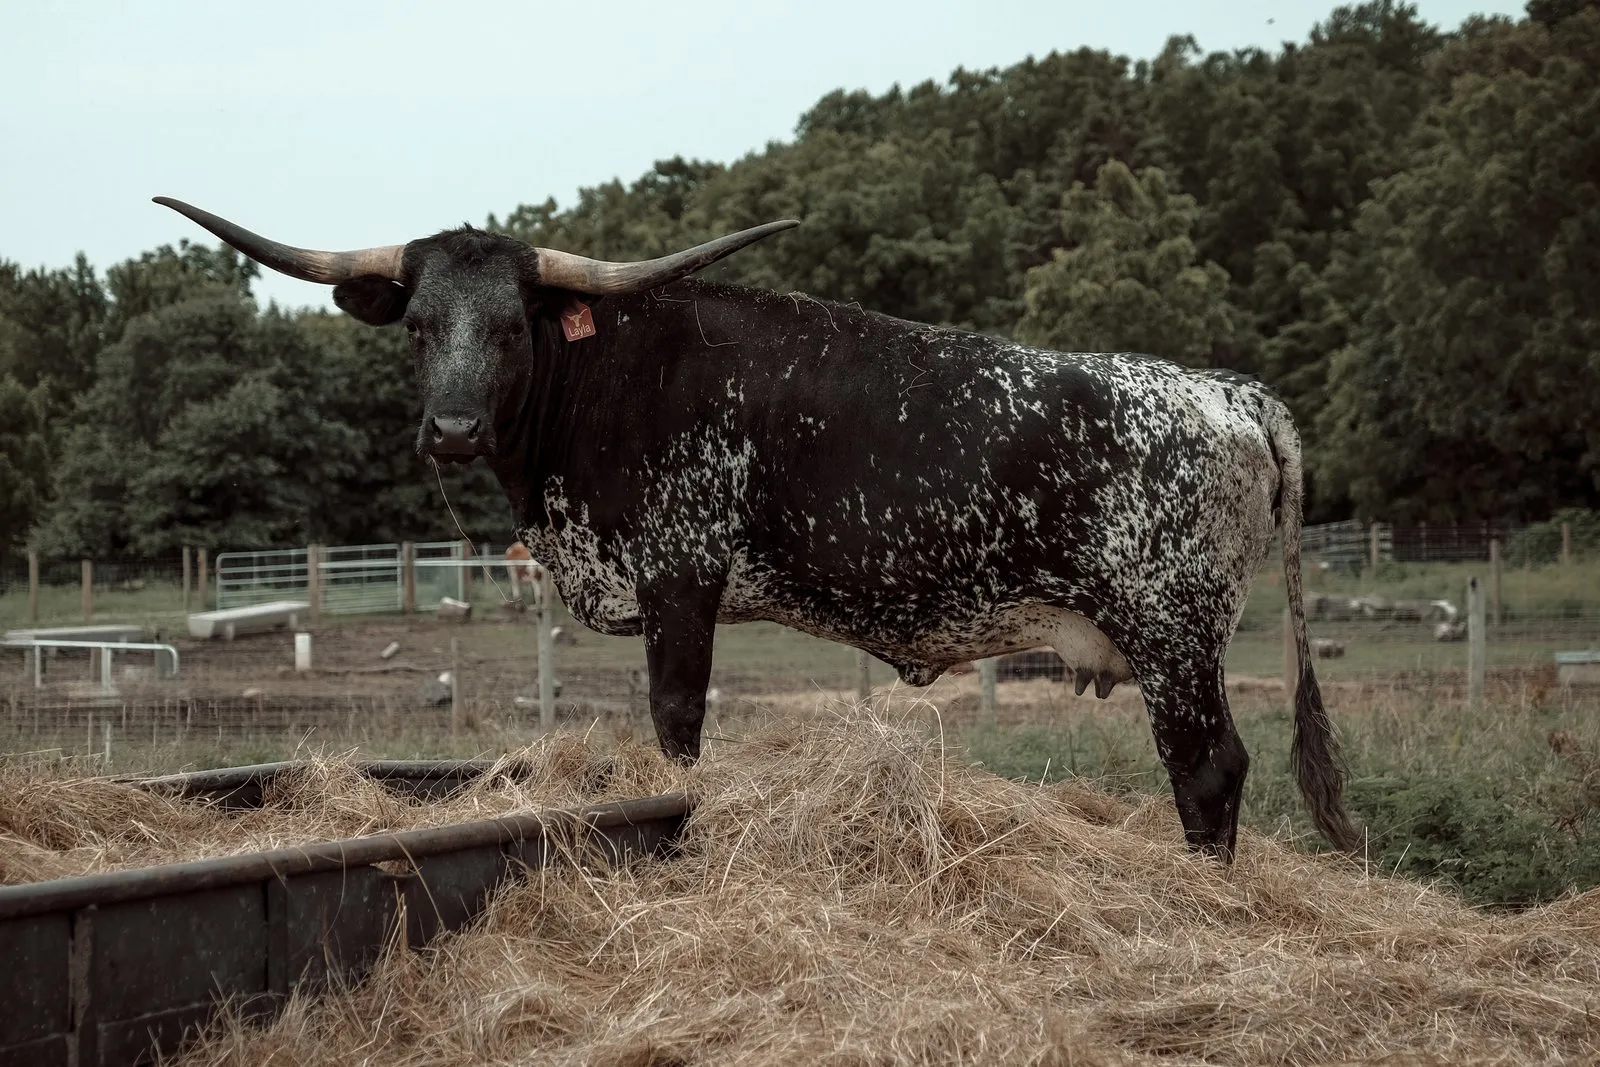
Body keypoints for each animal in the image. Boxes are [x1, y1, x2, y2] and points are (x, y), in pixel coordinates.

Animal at [153, 196, 1359, 861]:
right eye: (417, 325)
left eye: (512, 325)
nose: (449, 428)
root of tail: (1227, 391)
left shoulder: (680, 581)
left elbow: (676, 727)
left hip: (1173, 633)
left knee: (1208, 768)